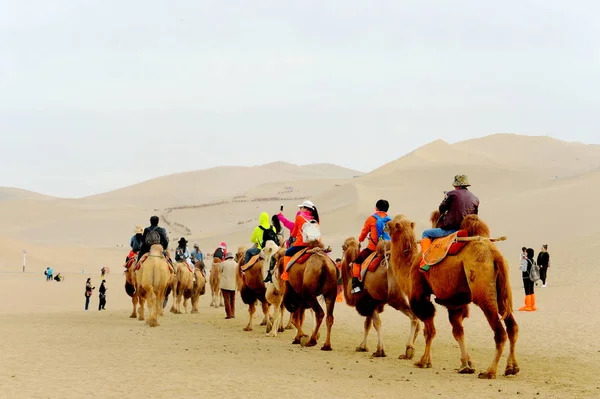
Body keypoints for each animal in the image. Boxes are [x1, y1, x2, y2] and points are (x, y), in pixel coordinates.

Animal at [386, 214, 516, 380]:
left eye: (392, 223)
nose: (385, 225)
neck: (409, 268)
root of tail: (495, 255)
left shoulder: (420, 294)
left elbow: (429, 331)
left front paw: (423, 361)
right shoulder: (455, 302)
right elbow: (458, 332)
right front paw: (466, 364)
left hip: (483, 289)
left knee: (500, 332)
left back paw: (489, 372)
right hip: (501, 293)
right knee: (512, 327)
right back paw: (512, 368)